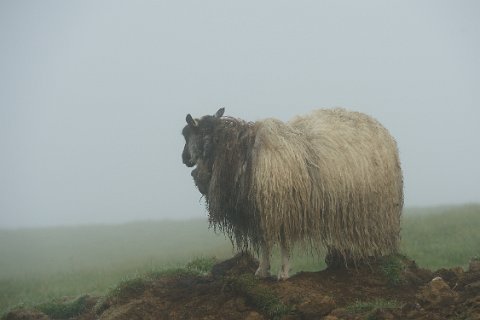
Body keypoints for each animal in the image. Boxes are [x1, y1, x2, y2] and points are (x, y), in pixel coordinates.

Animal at [182, 106, 404, 278]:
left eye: (187, 134)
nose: (184, 159)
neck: (243, 153)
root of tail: (383, 130)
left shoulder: (282, 207)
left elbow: (284, 243)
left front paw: (283, 272)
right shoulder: (260, 210)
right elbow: (265, 241)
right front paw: (262, 270)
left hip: (379, 205)